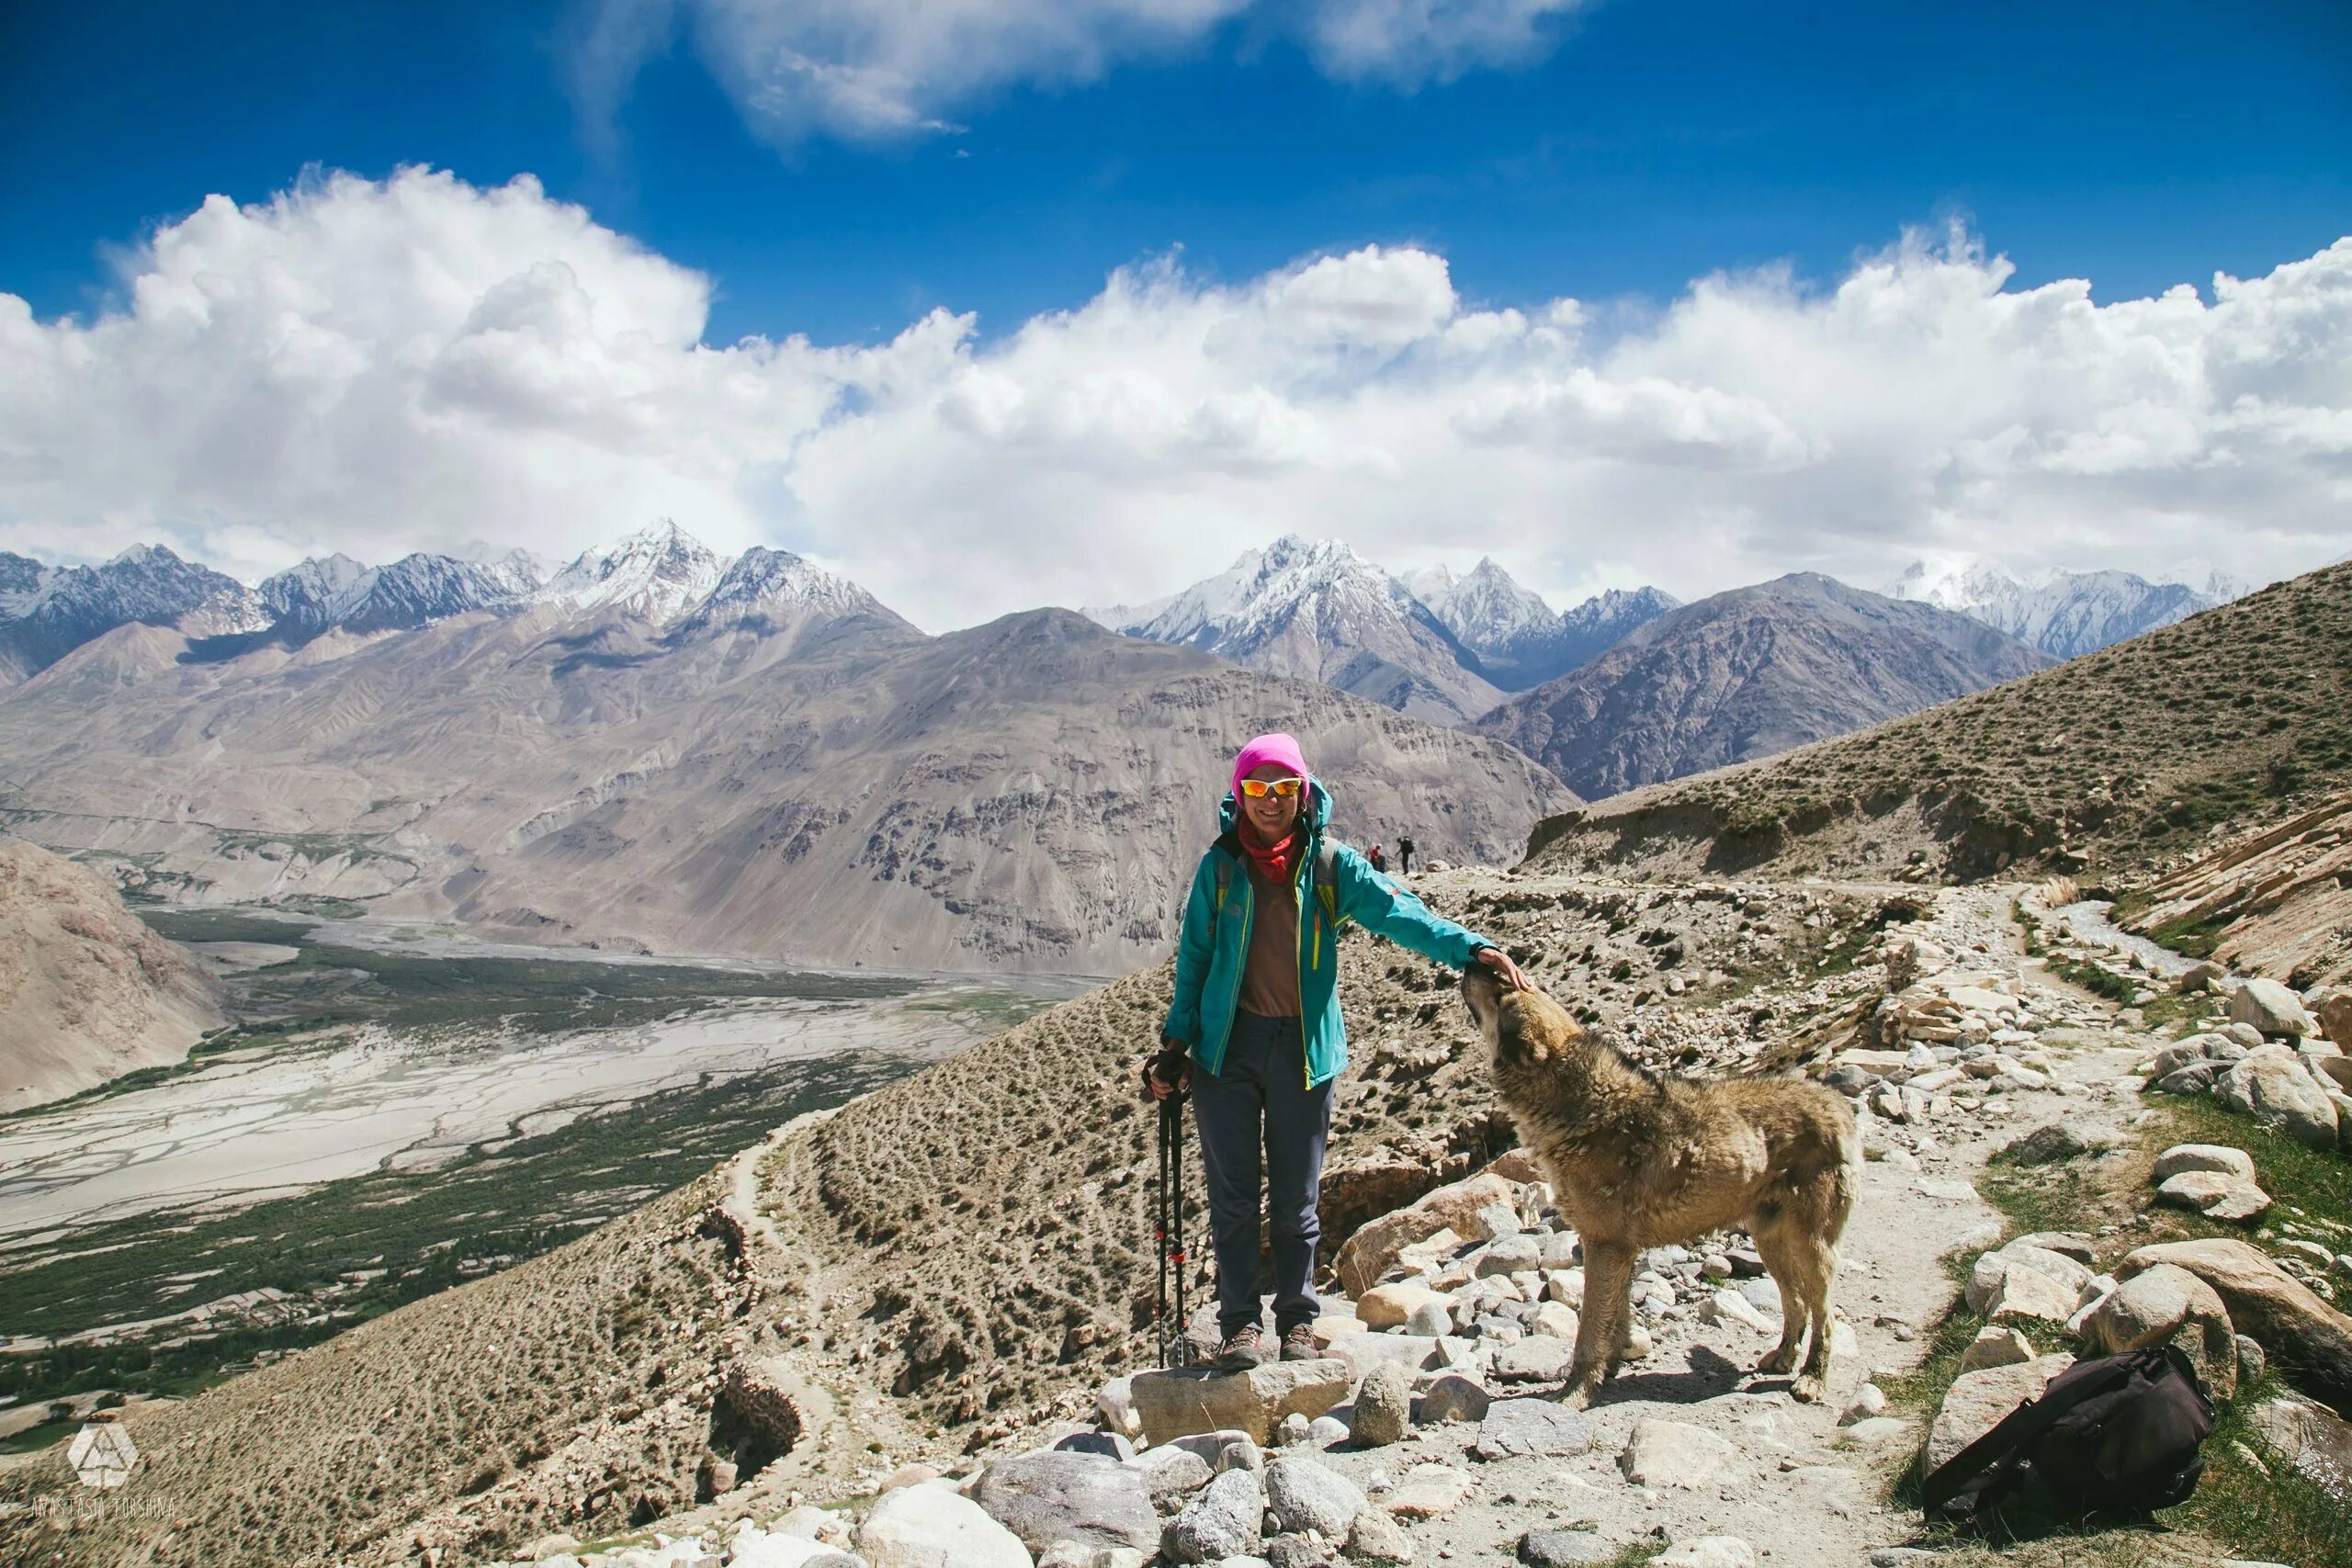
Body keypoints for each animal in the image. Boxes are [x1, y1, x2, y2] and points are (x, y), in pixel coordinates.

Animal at [1467, 973, 1853, 1401]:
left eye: (1501, 992)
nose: (1471, 966)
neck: (1579, 1107)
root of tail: (1836, 1102)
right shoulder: (1617, 1250)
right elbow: (1615, 1318)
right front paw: (1609, 1369)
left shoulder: (1604, 1245)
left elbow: (1589, 1329)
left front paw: (1575, 1392)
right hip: (1769, 1240)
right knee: (1795, 1300)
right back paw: (1783, 1356)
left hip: (1811, 1245)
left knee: (1825, 1312)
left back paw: (1812, 1377)